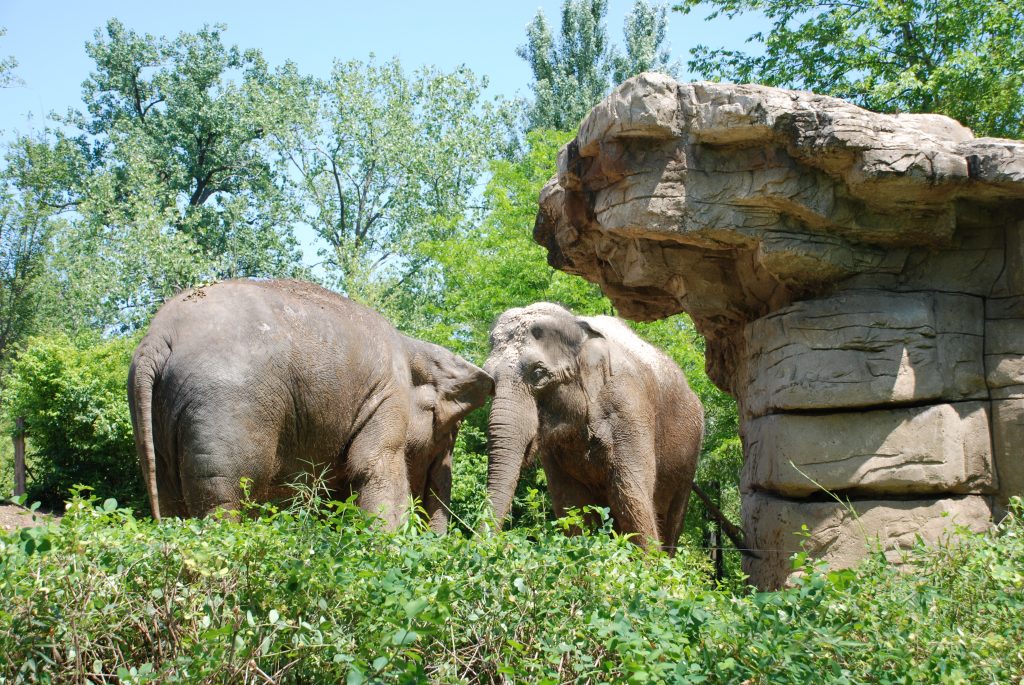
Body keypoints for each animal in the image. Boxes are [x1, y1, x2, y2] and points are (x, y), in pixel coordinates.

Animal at [128, 279, 493, 532]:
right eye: (450, 431)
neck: (411, 345)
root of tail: (156, 339)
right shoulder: (388, 397)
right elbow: (372, 465)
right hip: (225, 407)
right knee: (224, 501)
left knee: (169, 499)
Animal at [483, 303, 704, 554]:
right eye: (489, 379)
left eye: (538, 374)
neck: (580, 331)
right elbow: (572, 504)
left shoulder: (628, 406)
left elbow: (629, 495)